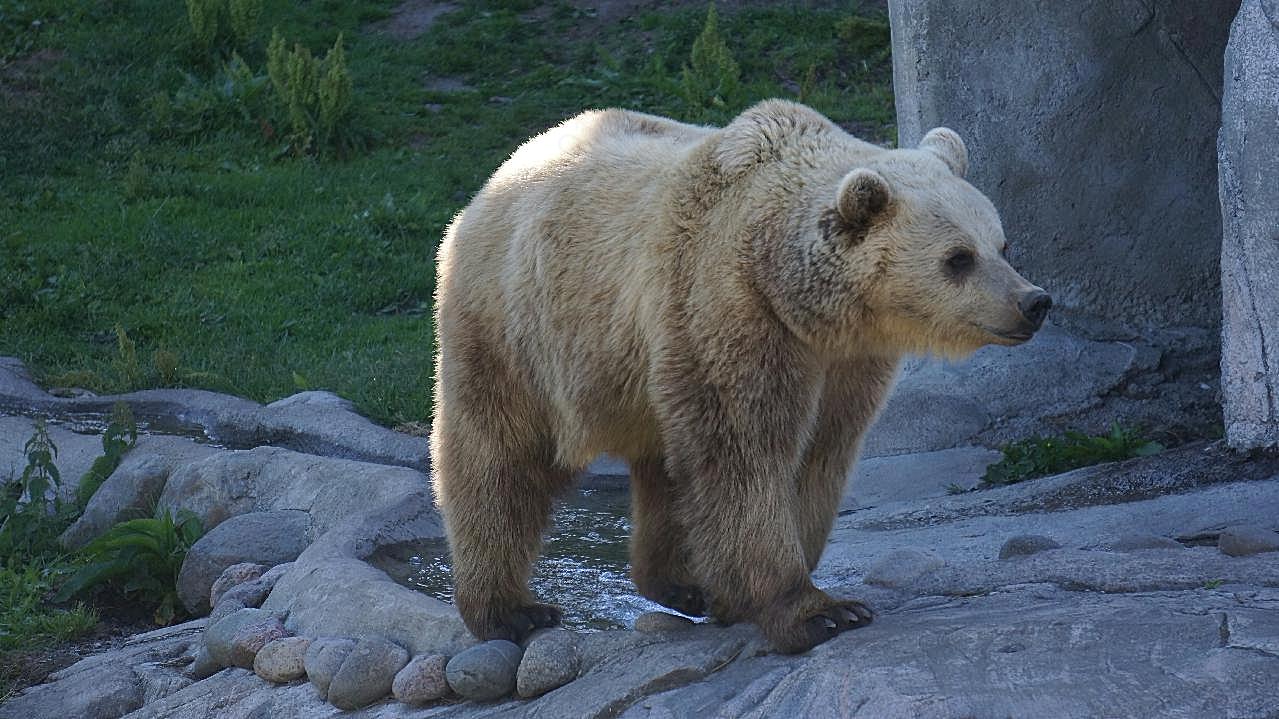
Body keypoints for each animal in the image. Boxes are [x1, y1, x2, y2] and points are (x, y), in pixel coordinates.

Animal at [429, 97, 1048, 652]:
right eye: (958, 258)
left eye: (1003, 244)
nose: (1033, 302)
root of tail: (496, 177)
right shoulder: (730, 307)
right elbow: (746, 454)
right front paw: (818, 612)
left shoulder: (845, 360)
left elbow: (820, 454)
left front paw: (756, 595)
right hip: (517, 326)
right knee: (499, 458)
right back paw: (509, 610)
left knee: (663, 468)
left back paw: (681, 583)